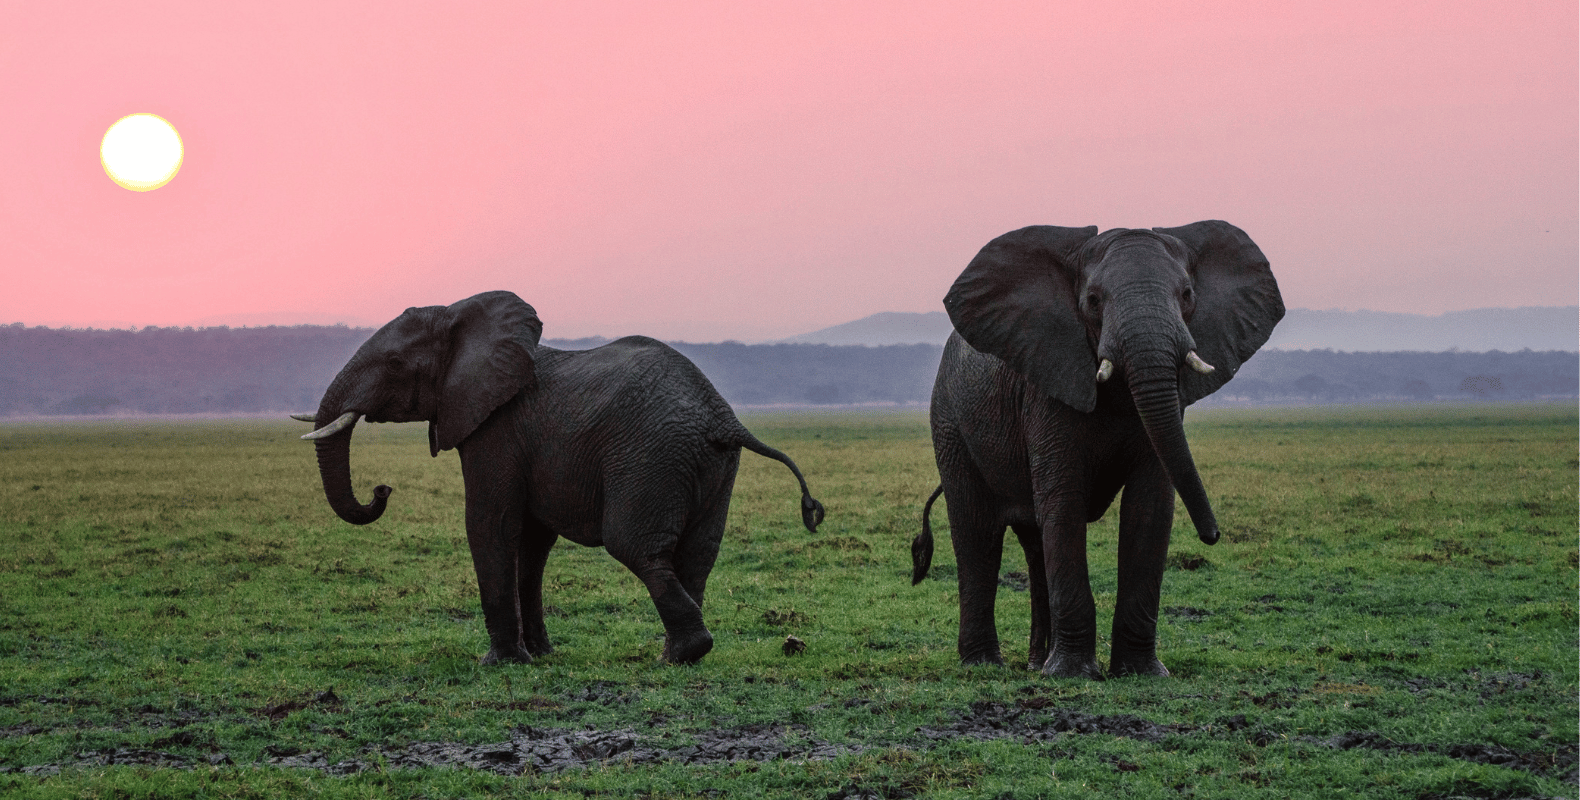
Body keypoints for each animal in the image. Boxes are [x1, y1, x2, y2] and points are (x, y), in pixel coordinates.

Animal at [295, 290, 824, 666]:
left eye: (394, 364)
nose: (382, 489)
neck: (459, 314)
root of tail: (722, 416)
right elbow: (532, 543)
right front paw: (542, 656)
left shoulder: (496, 429)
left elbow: (490, 524)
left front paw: (499, 663)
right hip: (712, 465)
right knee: (697, 554)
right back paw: (677, 656)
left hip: (651, 457)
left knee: (634, 546)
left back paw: (680, 655)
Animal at [911, 220, 1283, 679]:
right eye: (1092, 301)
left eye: (1187, 295)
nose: (1212, 535)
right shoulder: (1048, 385)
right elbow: (1064, 503)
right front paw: (1072, 674)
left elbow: (1149, 508)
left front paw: (1142, 673)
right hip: (950, 423)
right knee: (978, 533)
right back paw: (985, 665)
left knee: (1034, 543)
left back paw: (1036, 664)